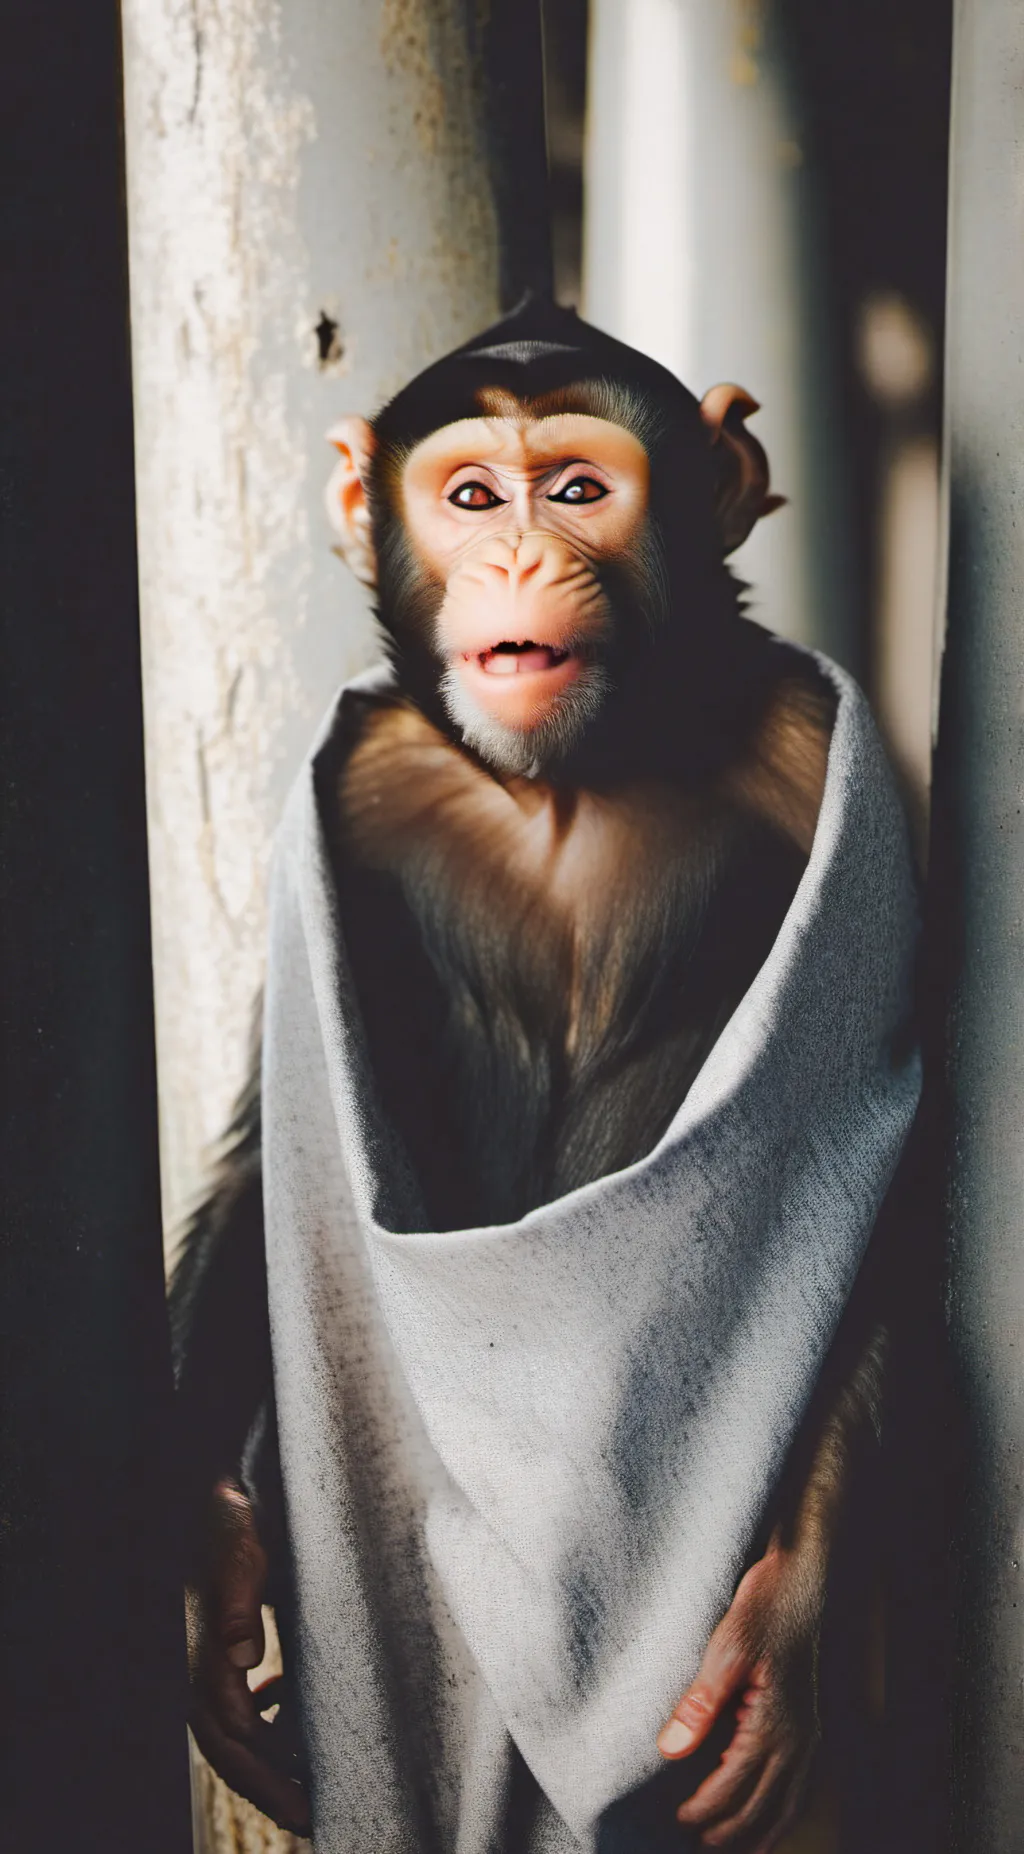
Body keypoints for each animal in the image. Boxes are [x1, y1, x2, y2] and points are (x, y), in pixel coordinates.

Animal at [171, 296, 914, 1852]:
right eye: (469, 498)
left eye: (576, 488)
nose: (516, 553)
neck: (562, 779)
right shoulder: (354, 783)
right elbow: (268, 1150)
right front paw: (211, 1564)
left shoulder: (815, 755)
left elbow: (883, 1172)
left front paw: (790, 1627)